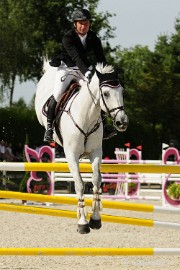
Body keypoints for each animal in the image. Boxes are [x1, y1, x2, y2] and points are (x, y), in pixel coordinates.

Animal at [34, 63, 128, 234]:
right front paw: (83, 223)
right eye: (106, 93)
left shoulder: (95, 153)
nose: (122, 122)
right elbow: (79, 184)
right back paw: (48, 132)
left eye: (122, 92)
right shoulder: (72, 155)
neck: (86, 116)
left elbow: (96, 180)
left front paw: (95, 219)